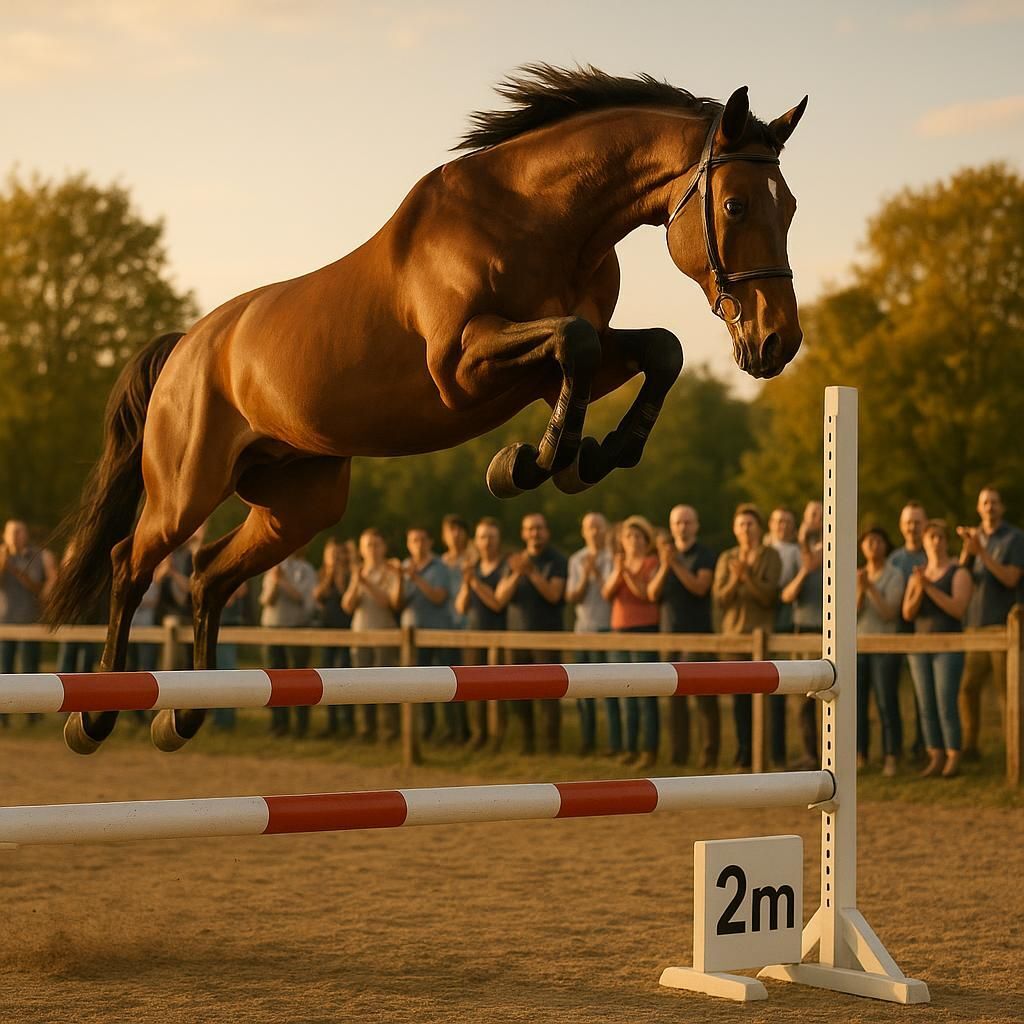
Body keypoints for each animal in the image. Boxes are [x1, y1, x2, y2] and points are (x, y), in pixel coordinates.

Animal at [48, 65, 808, 755]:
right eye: (736, 206)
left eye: (792, 207)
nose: (778, 342)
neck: (543, 220)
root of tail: (187, 345)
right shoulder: (461, 367)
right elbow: (577, 342)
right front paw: (530, 463)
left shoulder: (548, 374)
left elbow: (655, 350)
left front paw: (583, 458)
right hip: (186, 489)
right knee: (129, 563)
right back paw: (96, 714)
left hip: (299, 503)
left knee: (207, 574)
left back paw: (183, 714)